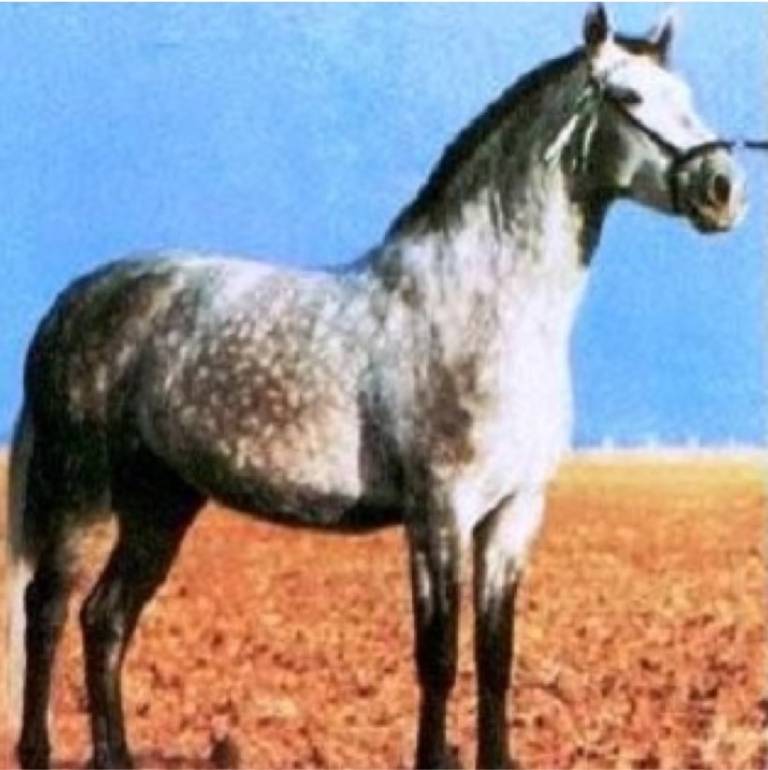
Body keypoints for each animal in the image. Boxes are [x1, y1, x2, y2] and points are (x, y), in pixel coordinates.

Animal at [7, 5, 747, 769]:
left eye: (686, 94)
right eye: (628, 97)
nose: (723, 188)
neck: (487, 305)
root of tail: (74, 299)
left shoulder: (513, 513)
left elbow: (496, 656)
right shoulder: (440, 511)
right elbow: (438, 657)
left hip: (162, 505)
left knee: (105, 619)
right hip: (80, 496)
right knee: (48, 610)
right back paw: (37, 747)